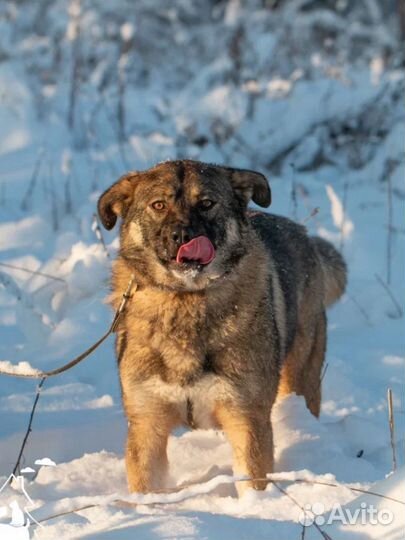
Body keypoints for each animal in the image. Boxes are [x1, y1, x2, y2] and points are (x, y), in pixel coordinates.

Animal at [97, 159, 344, 494]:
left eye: (206, 204)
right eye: (158, 205)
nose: (182, 236)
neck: (186, 301)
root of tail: (303, 233)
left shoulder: (246, 418)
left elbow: (251, 481)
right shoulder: (147, 422)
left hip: (300, 376)